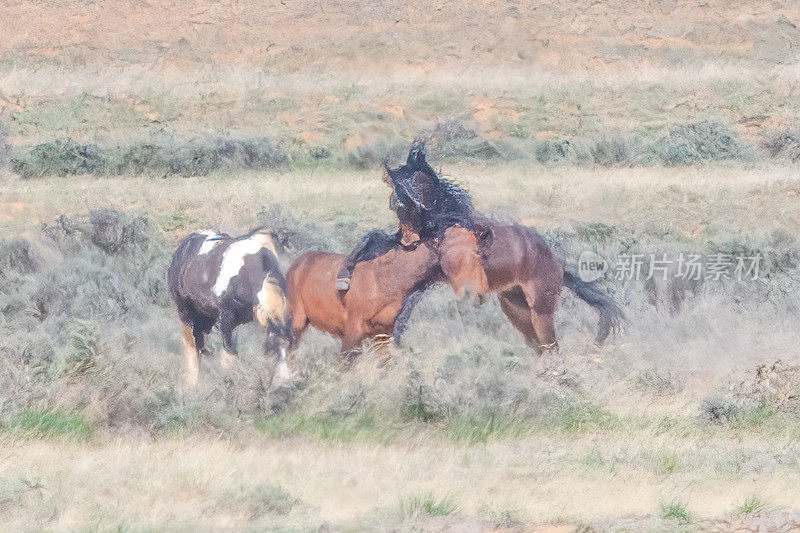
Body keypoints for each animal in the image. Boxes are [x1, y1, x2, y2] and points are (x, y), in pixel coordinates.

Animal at [167, 227, 292, 384]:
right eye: (273, 348)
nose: (286, 383)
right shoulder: (226, 322)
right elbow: (230, 356)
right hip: (186, 314)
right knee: (192, 347)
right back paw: (192, 382)